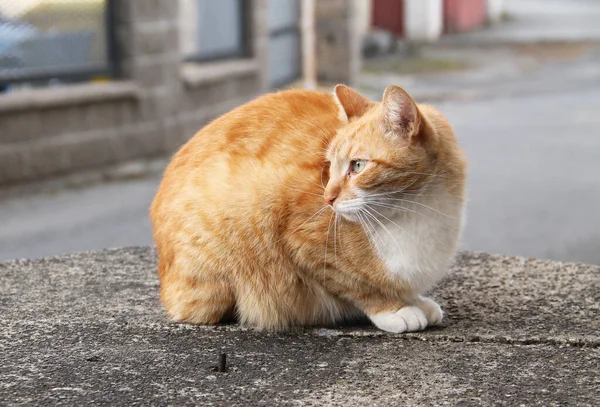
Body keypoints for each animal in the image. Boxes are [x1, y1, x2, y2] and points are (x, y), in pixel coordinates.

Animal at [148, 84, 466, 334]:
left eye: (357, 166)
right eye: (329, 166)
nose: (327, 198)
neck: (416, 209)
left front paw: (416, 301)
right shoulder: (304, 244)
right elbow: (358, 286)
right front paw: (395, 309)